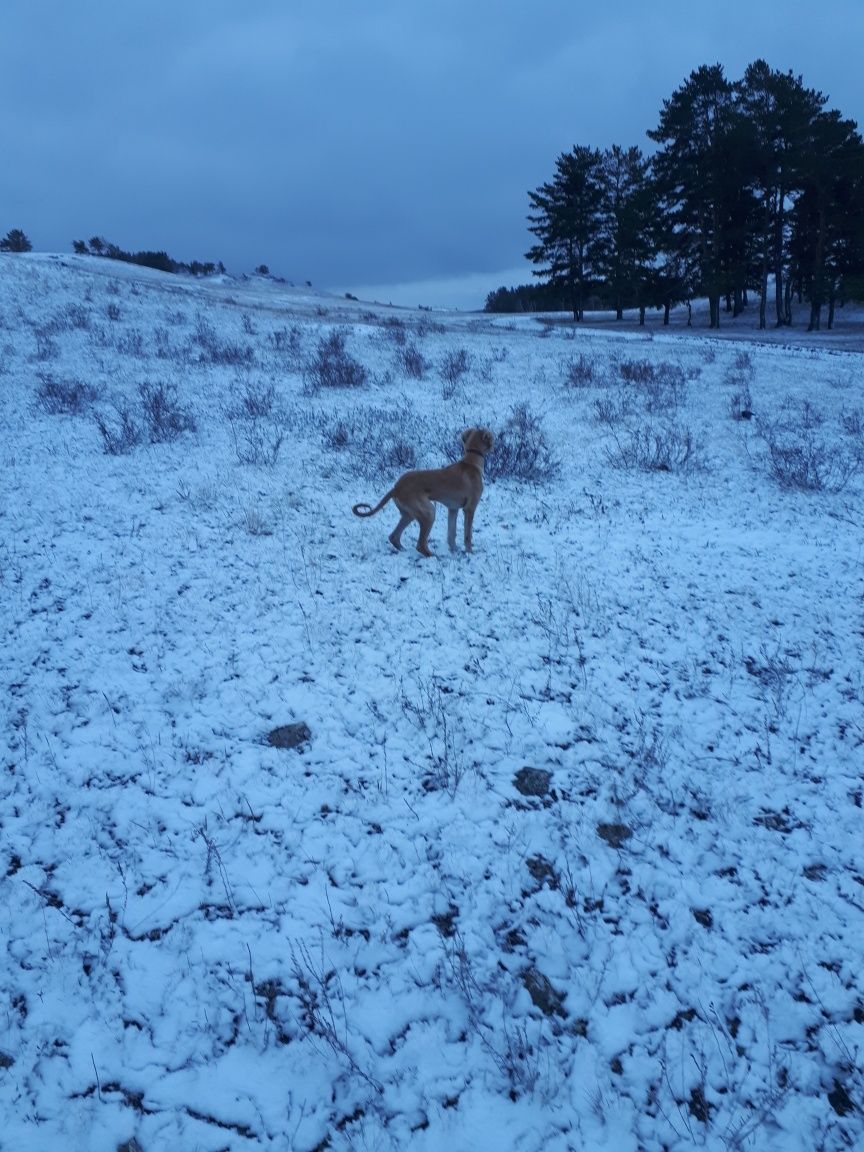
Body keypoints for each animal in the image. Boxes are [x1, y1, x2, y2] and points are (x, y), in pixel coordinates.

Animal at [352, 433, 493, 557]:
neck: (471, 463)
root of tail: (396, 487)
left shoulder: (453, 509)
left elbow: (451, 533)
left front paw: (454, 550)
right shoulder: (469, 509)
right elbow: (468, 534)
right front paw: (469, 552)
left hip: (409, 514)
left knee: (394, 537)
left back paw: (403, 549)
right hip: (428, 512)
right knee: (420, 545)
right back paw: (433, 556)